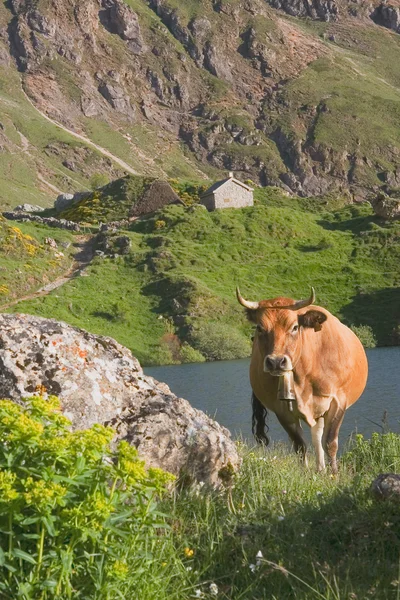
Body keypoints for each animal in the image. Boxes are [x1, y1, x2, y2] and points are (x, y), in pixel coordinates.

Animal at [236, 288, 368, 474]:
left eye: (294, 327)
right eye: (260, 328)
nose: (276, 361)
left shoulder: (338, 401)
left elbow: (330, 442)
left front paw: (334, 474)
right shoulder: (281, 409)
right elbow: (299, 445)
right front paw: (305, 472)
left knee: (319, 435)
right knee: (315, 434)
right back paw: (320, 468)